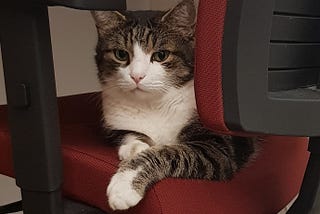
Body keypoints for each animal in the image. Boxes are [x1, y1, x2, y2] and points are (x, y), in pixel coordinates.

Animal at [91, 0, 256, 211]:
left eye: (161, 55)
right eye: (121, 54)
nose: (137, 76)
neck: (152, 104)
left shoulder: (217, 147)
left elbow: (171, 152)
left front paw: (124, 185)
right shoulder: (115, 122)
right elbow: (128, 134)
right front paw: (136, 147)